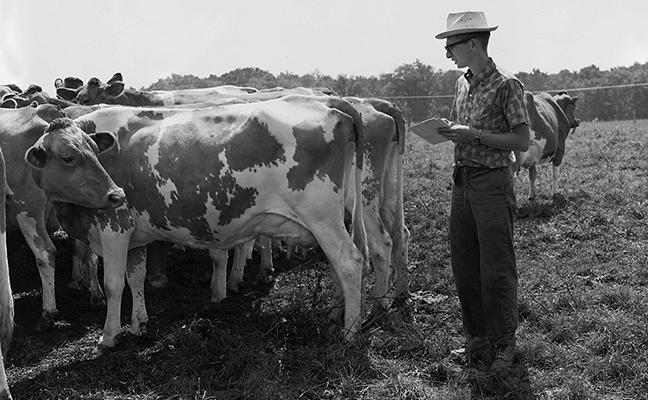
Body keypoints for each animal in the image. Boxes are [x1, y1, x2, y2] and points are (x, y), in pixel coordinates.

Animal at [26, 95, 369, 352]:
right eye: (69, 157)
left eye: (94, 151)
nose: (116, 194)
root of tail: (328, 102)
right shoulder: (134, 235)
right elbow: (135, 279)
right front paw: (138, 325)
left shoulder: (115, 228)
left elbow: (113, 284)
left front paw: (108, 337)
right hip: (330, 220)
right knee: (339, 266)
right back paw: (335, 316)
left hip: (322, 217)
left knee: (349, 262)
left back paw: (350, 331)